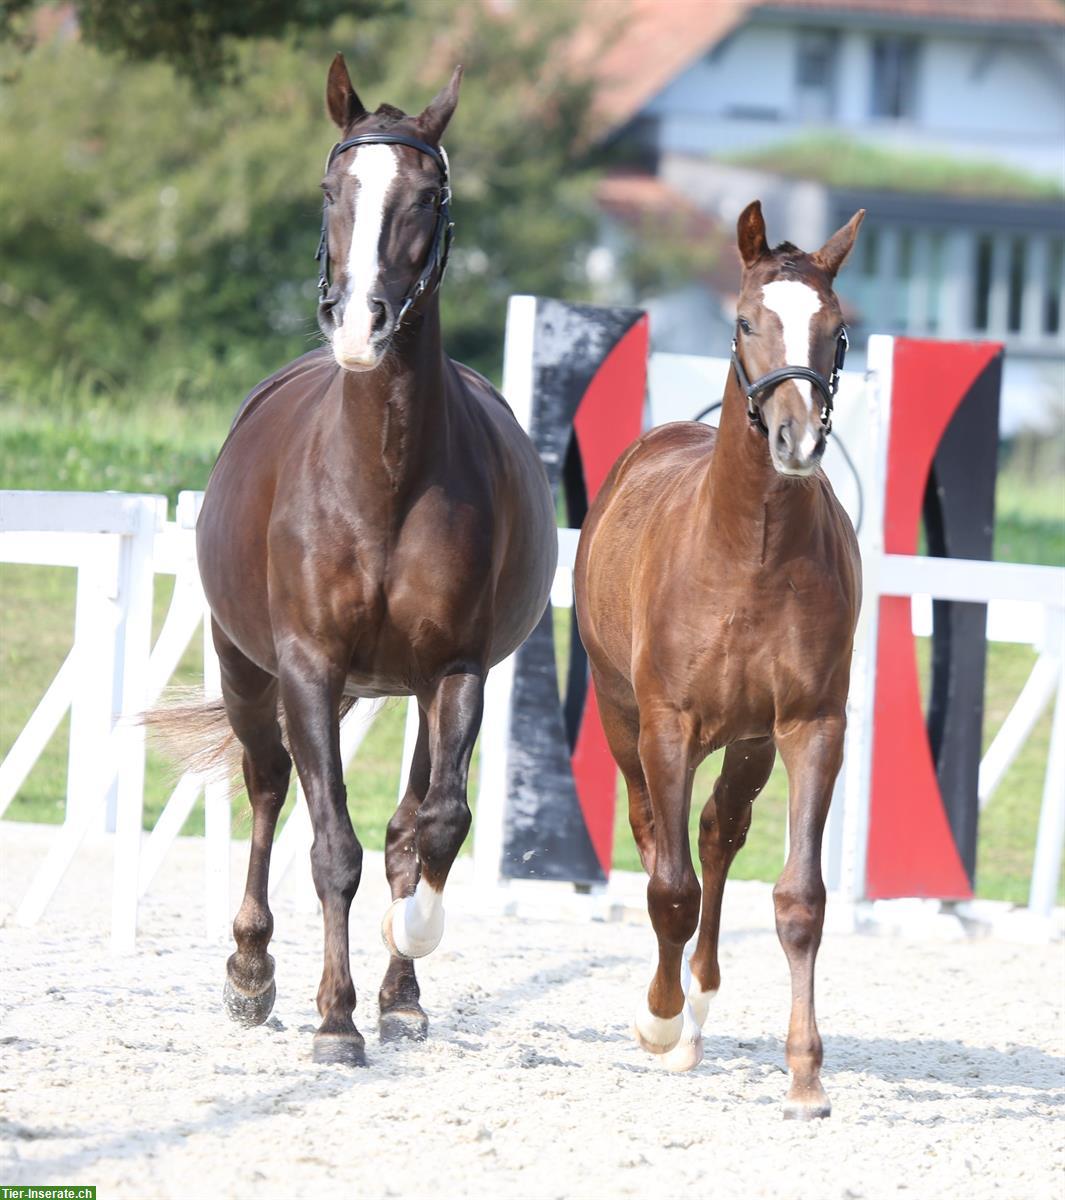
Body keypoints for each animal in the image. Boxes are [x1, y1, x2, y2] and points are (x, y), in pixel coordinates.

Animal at [193, 58, 556, 1070]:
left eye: (427, 195)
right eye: (332, 190)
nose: (359, 324)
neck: (382, 471)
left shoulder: (454, 670)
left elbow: (431, 828)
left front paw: (402, 964)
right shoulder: (309, 669)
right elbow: (332, 848)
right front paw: (332, 1018)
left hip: (412, 689)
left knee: (410, 820)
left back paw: (400, 994)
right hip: (246, 671)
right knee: (268, 787)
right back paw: (251, 972)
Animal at [573, 204, 863, 1113]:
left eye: (837, 330)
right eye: (744, 321)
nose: (796, 440)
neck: (750, 553)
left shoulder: (808, 727)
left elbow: (799, 898)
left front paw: (804, 1075)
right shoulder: (666, 725)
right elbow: (668, 887)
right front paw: (656, 1021)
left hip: (748, 742)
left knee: (716, 833)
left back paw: (698, 1005)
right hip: (622, 714)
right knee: (655, 838)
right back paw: (672, 1016)